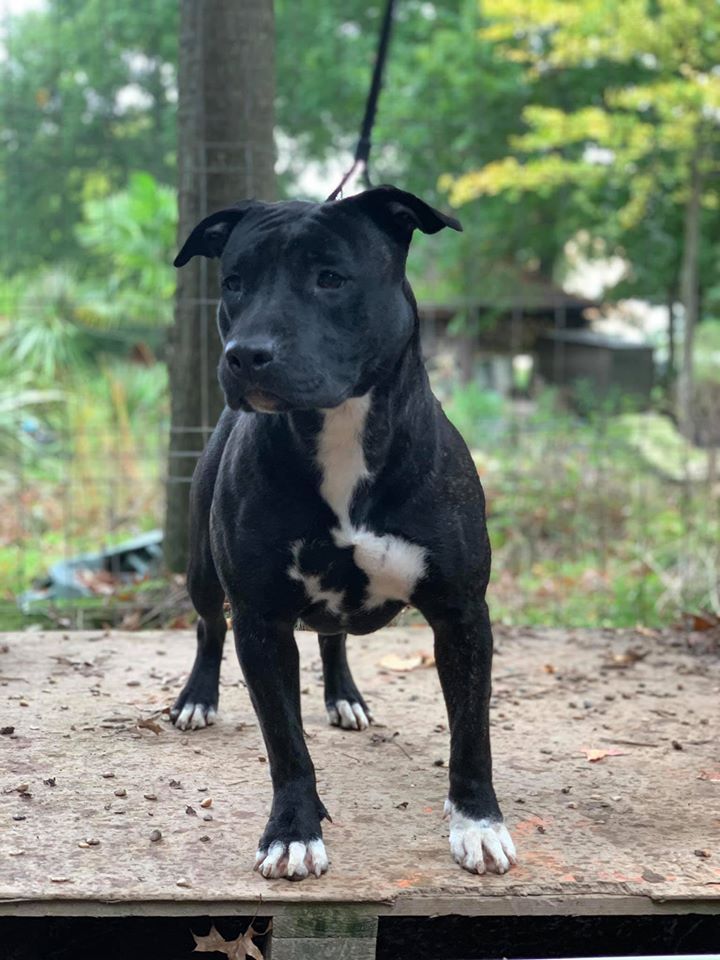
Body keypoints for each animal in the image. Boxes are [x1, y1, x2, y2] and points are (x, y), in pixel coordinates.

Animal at [170, 185, 517, 881]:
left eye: (330, 278)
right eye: (234, 283)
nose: (245, 353)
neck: (340, 432)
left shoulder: (462, 615)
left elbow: (472, 732)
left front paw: (478, 822)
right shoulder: (261, 622)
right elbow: (286, 744)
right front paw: (292, 832)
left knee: (333, 637)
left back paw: (344, 697)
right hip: (201, 569)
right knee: (208, 624)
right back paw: (198, 697)